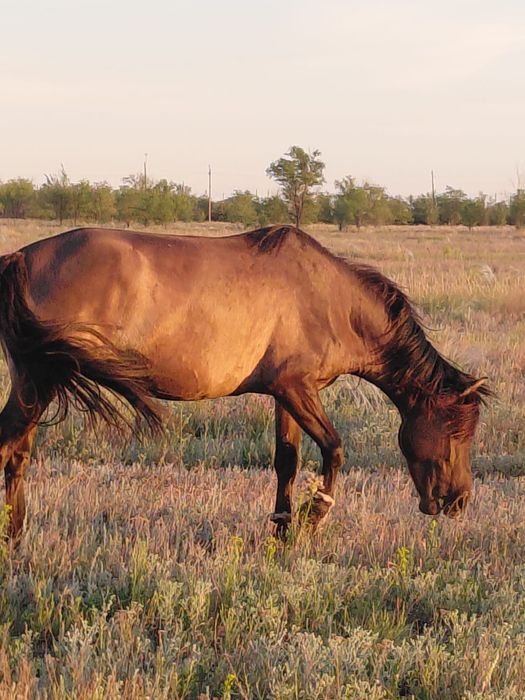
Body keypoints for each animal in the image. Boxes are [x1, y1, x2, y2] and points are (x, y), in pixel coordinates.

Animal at [0, 225, 489, 541]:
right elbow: (334, 449)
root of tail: (18, 258)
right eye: (456, 433)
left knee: (18, 455)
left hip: (33, 383)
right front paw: (314, 517)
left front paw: (282, 532)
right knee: (8, 449)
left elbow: (287, 461)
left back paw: (17, 533)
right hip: (41, 382)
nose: (460, 501)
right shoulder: (297, 389)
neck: (330, 297)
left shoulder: (285, 395)